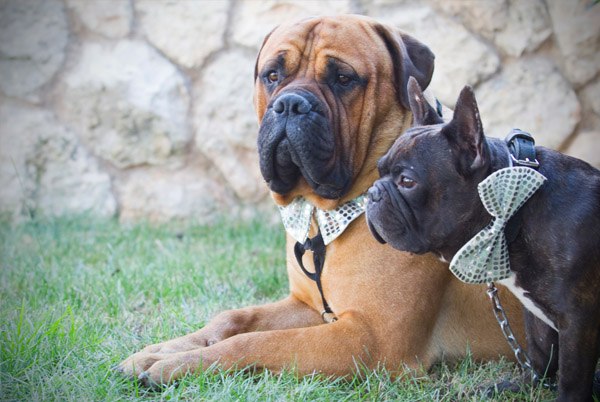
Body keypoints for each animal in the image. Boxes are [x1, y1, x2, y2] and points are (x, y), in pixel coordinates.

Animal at [118, 15, 525, 386]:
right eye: (272, 75)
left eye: (343, 79)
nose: (290, 105)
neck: (323, 211)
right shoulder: (308, 306)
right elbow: (234, 318)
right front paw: (163, 350)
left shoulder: (370, 338)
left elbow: (257, 342)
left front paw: (178, 364)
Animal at [366, 77, 600, 401]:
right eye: (379, 171)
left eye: (407, 182)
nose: (372, 193)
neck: (517, 207)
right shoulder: (537, 315)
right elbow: (541, 353)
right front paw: (523, 386)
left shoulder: (579, 323)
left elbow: (572, 377)